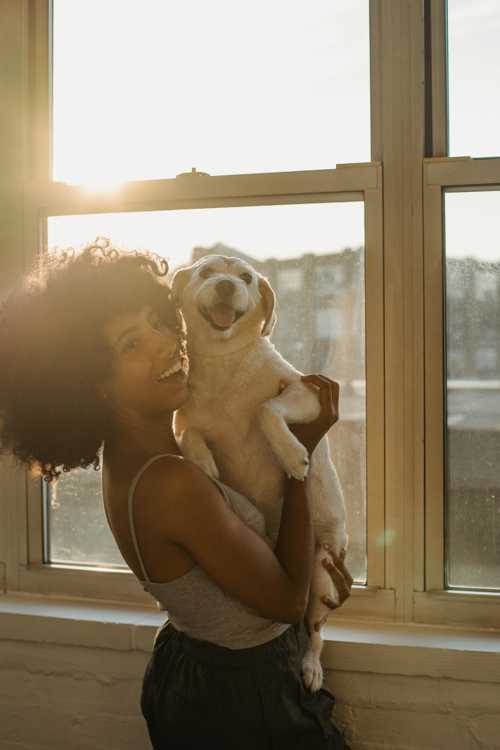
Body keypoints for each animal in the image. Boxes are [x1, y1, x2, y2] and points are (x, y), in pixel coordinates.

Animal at [172, 254, 348, 692]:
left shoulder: (305, 392)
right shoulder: (181, 419)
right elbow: (189, 434)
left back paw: (311, 667)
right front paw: (203, 464)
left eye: (246, 278)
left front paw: (293, 456)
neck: (224, 364)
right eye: (206, 272)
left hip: (321, 568)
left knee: (315, 633)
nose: (225, 286)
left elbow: (265, 409)